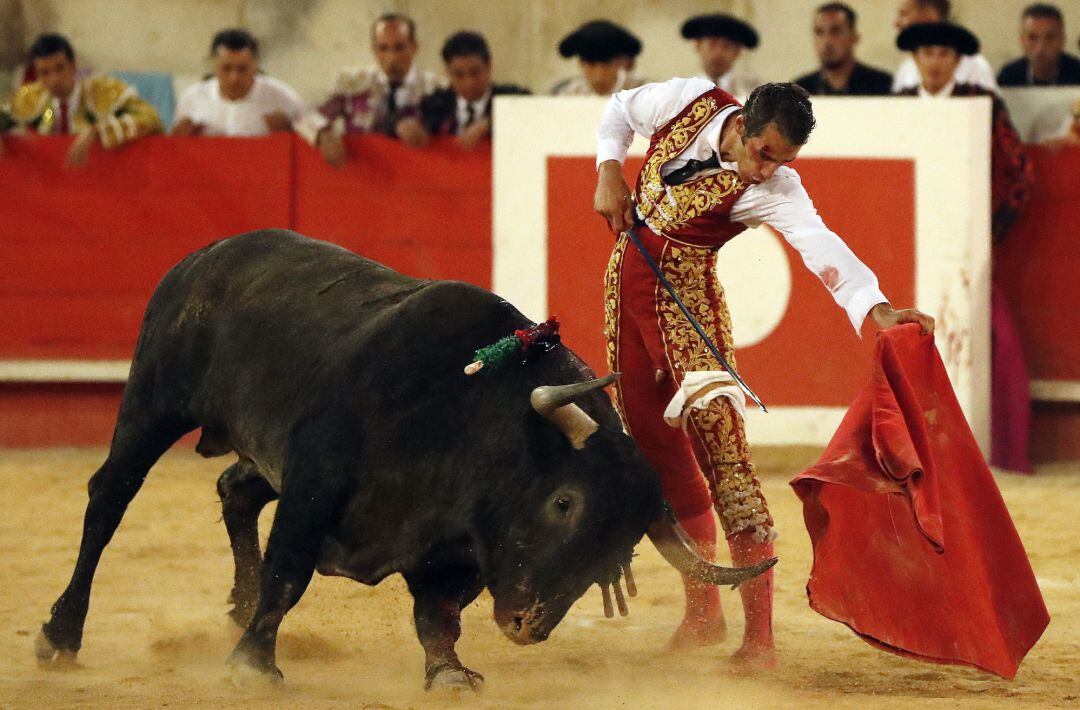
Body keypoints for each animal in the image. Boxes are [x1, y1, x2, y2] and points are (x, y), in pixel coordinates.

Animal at [33, 231, 777, 687]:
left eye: (616, 553)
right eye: (564, 502)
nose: (526, 627)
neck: (465, 413)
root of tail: (208, 253)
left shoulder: (458, 546)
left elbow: (437, 613)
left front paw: (448, 673)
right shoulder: (313, 484)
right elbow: (288, 573)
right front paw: (253, 666)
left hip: (258, 448)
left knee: (235, 488)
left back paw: (235, 606)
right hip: (155, 400)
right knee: (110, 497)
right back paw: (61, 634)